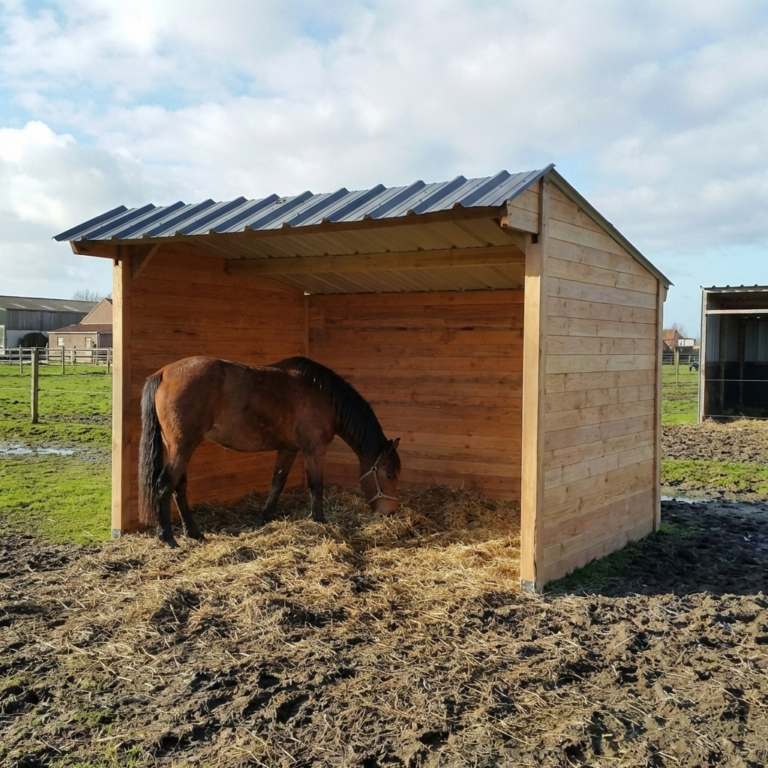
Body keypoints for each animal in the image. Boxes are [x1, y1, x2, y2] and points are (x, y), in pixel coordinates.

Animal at [138, 356, 401, 547]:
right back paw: (168, 537)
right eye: (388, 475)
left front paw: (266, 516)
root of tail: (164, 373)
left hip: (178, 447)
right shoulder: (314, 450)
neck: (325, 395)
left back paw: (194, 533)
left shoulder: (288, 449)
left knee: (179, 487)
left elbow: (278, 481)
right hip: (182, 447)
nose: (390, 513)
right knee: (165, 485)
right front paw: (319, 520)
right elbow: (316, 485)